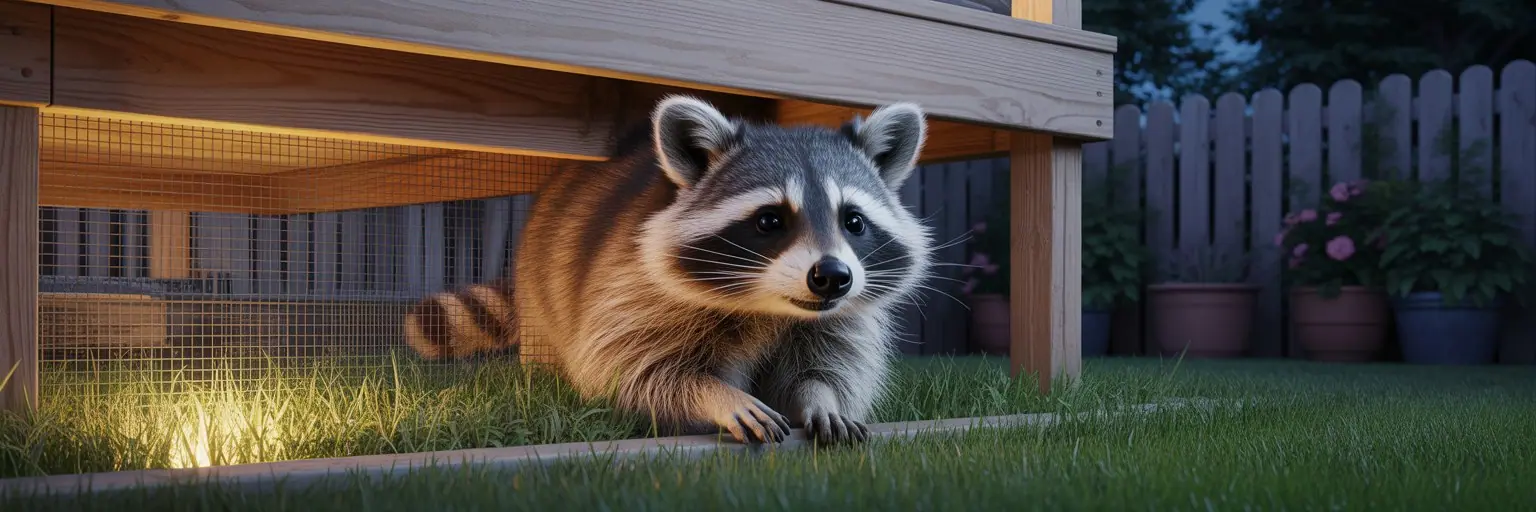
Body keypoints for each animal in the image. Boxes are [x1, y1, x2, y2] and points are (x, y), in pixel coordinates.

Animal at [403, 95, 933, 445]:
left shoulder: (838, 317)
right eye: (770, 220)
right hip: (541, 293)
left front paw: (820, 399)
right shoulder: (630, 286)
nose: (832, 276)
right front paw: (714, 395)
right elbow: (632, 369)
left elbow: (830, 366)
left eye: (854, 221)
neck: (769, 306)